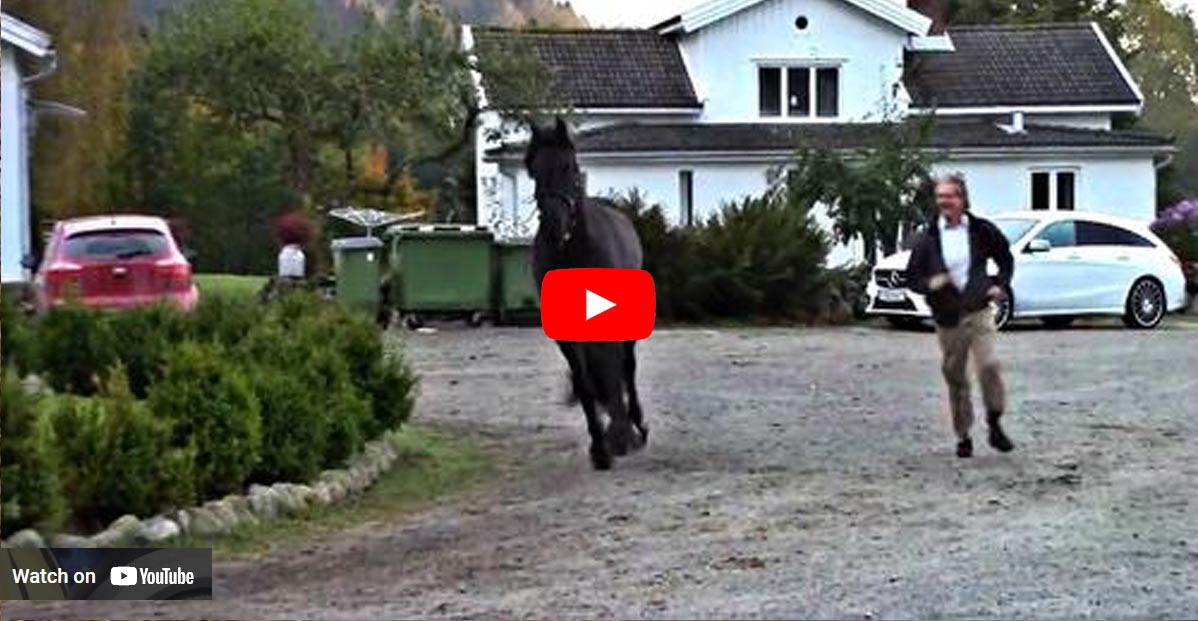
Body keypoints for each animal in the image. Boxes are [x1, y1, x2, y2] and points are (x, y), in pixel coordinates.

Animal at [529, 119, 651, 472]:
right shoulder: (566, 334)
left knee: (627, 366)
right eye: (534, 170)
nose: (554, 226)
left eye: (568, 166)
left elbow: (613, 370)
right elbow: (585, 383)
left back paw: (636, 424)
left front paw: (622, 435)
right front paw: (600, 446)